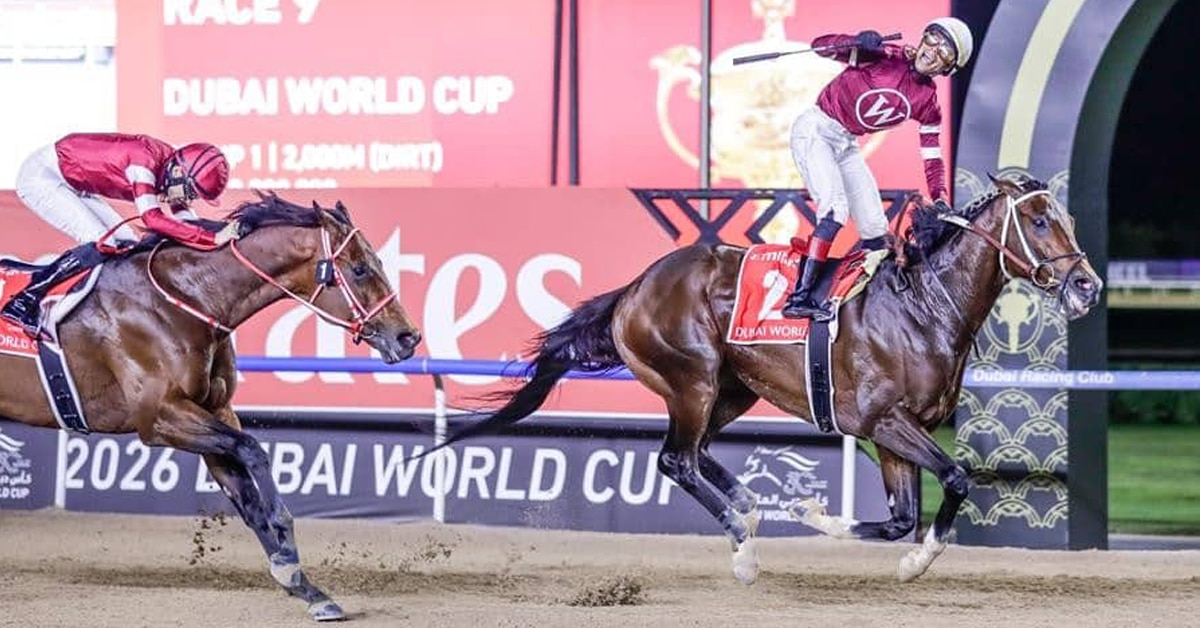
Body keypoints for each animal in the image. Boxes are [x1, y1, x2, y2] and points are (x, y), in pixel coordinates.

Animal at [0, 193, 421, 621]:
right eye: (359, 269)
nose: (408, 337)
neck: (189, 299)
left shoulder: (213, 410)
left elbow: (248, 498)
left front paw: (305, 587)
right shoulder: (159, 416)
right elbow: (253, 450)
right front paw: (286, 546)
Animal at [433, 173, 1102, 584]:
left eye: (1066, 218)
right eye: (1038, 222)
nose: (1087, 285)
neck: (923, 306)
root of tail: (635, 287)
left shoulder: (895, 432)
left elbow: (899, 518)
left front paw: (841, 527)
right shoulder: (882, 419)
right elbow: (957, 477)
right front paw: (865, 539)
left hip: (733, 389)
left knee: (699, 454)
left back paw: (750, 510)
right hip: (693, 379)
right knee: (676, 459)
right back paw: (745, 548)